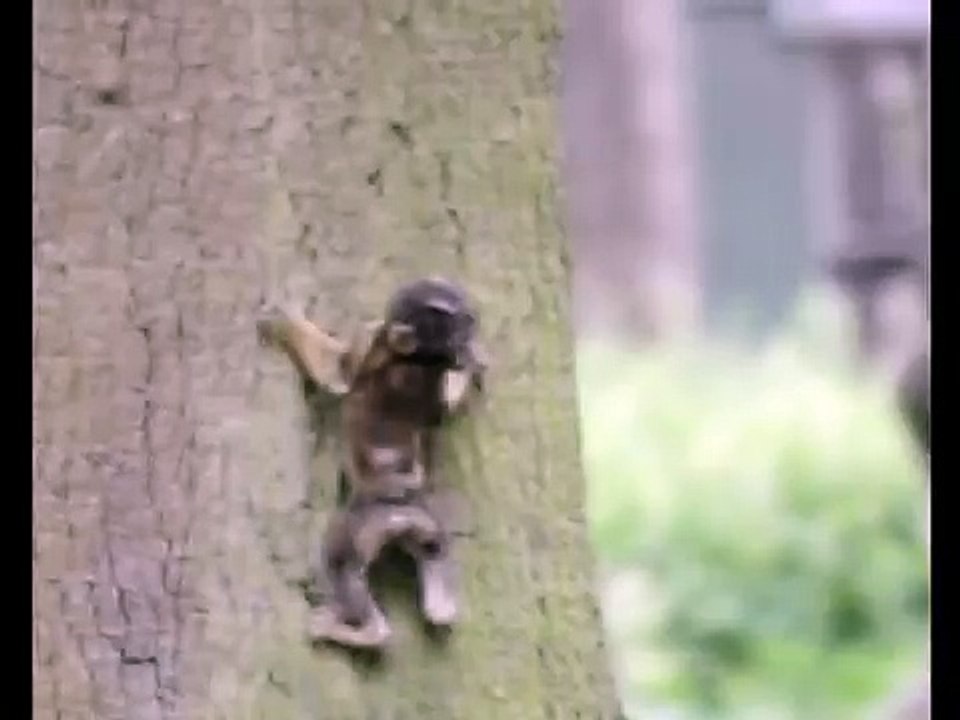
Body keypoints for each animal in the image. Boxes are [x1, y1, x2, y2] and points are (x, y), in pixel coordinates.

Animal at [258, 277, 486, 649]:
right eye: (443, 312)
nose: (467, 316)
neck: (418, 361)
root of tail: (399, 512)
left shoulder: (364, 343)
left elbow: (332, 369)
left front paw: (284, 317)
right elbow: (444, 406)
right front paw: (470, 367)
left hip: (356, 535)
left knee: (344, 573)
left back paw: (353, 631)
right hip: (429, 529)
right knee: (441, 602)